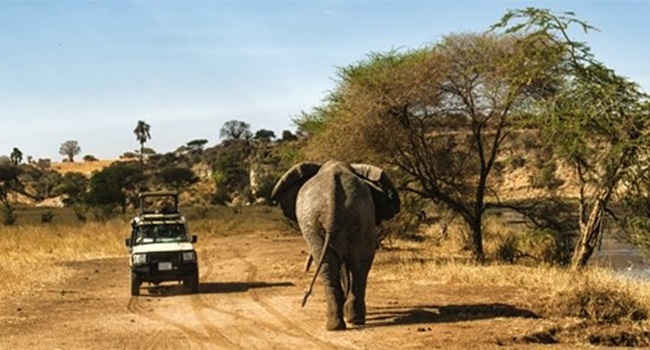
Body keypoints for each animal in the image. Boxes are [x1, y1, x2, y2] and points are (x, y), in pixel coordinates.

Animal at [270, 160, 400, 330]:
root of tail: (333, 197)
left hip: (323, 223)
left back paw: (341, 322)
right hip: (351, 219)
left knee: (342, 264)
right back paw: (347, 321)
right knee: (354, 264)